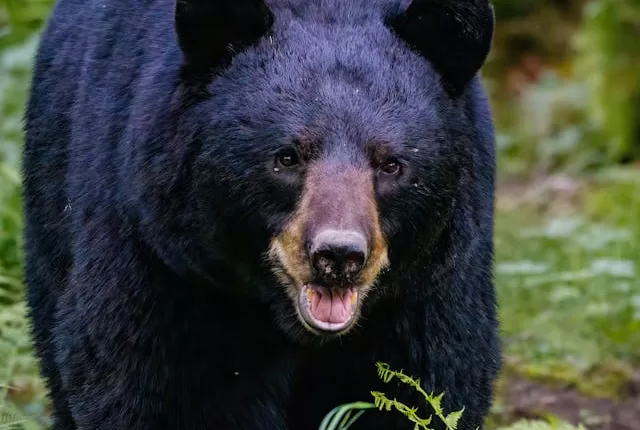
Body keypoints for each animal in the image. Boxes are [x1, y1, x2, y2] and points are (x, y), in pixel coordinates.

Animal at [22, 0, 502, 428]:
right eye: (287, 157)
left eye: (391, 164)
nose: (338, 256)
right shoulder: (163, 258)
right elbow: (146, 380)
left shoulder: (430, 285)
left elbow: (425, 384)